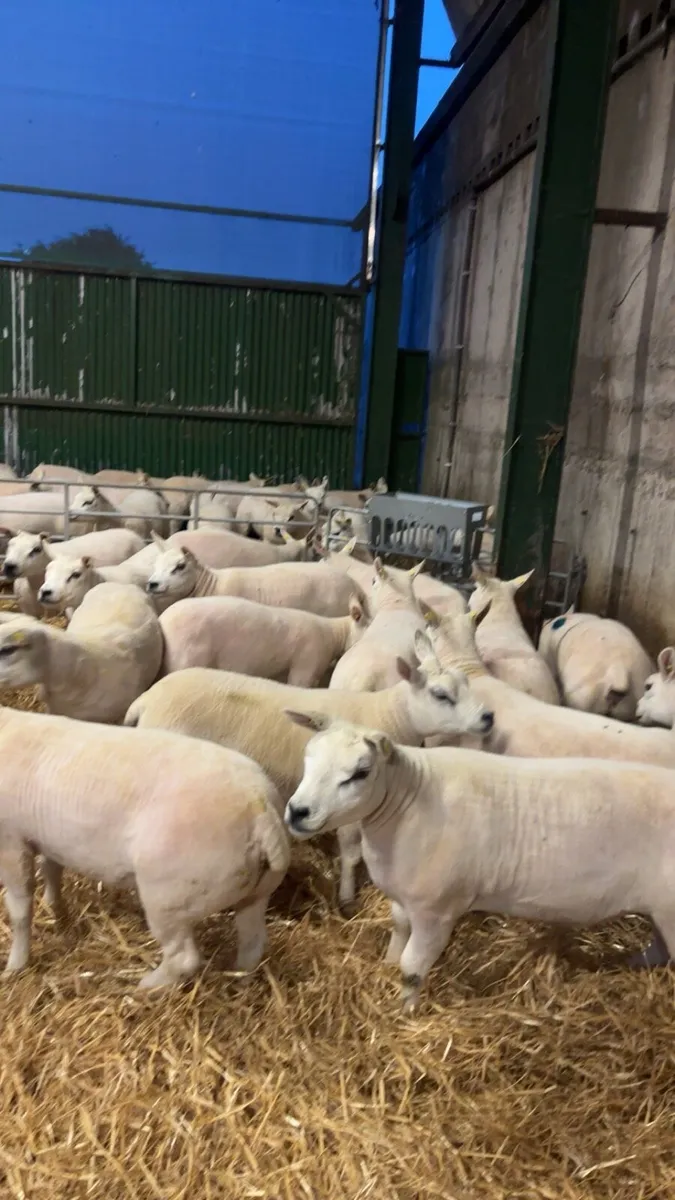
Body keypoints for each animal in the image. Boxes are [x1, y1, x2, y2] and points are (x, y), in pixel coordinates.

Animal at [0, 706, 288, 986]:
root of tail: (260, 810)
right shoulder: (47, 837)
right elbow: (52, 870)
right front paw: (57, 911)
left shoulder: (10, 841)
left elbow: (19, 906)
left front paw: (15, 966)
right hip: (258, 889)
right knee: (253, 942)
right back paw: (241, 983)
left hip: (170, 894)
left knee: (183, 958)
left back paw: (144, 988)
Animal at [123, 638, 493, 914]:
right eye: (441, 695)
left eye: (466, 684)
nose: (488, 717)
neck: (390, 716)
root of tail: (145, 701)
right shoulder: (349, 803)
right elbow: (351, 853)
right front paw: (347, 899)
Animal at [284, 715, 675, 1013]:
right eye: (307, 757)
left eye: (361, 772)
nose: (298, 812)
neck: (406, 801)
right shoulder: (404, 896)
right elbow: (397, 930)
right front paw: (386, 966)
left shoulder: (437, 910)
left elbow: (412, 969)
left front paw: (404, 1012)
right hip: (659, 910)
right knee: (658, 952)